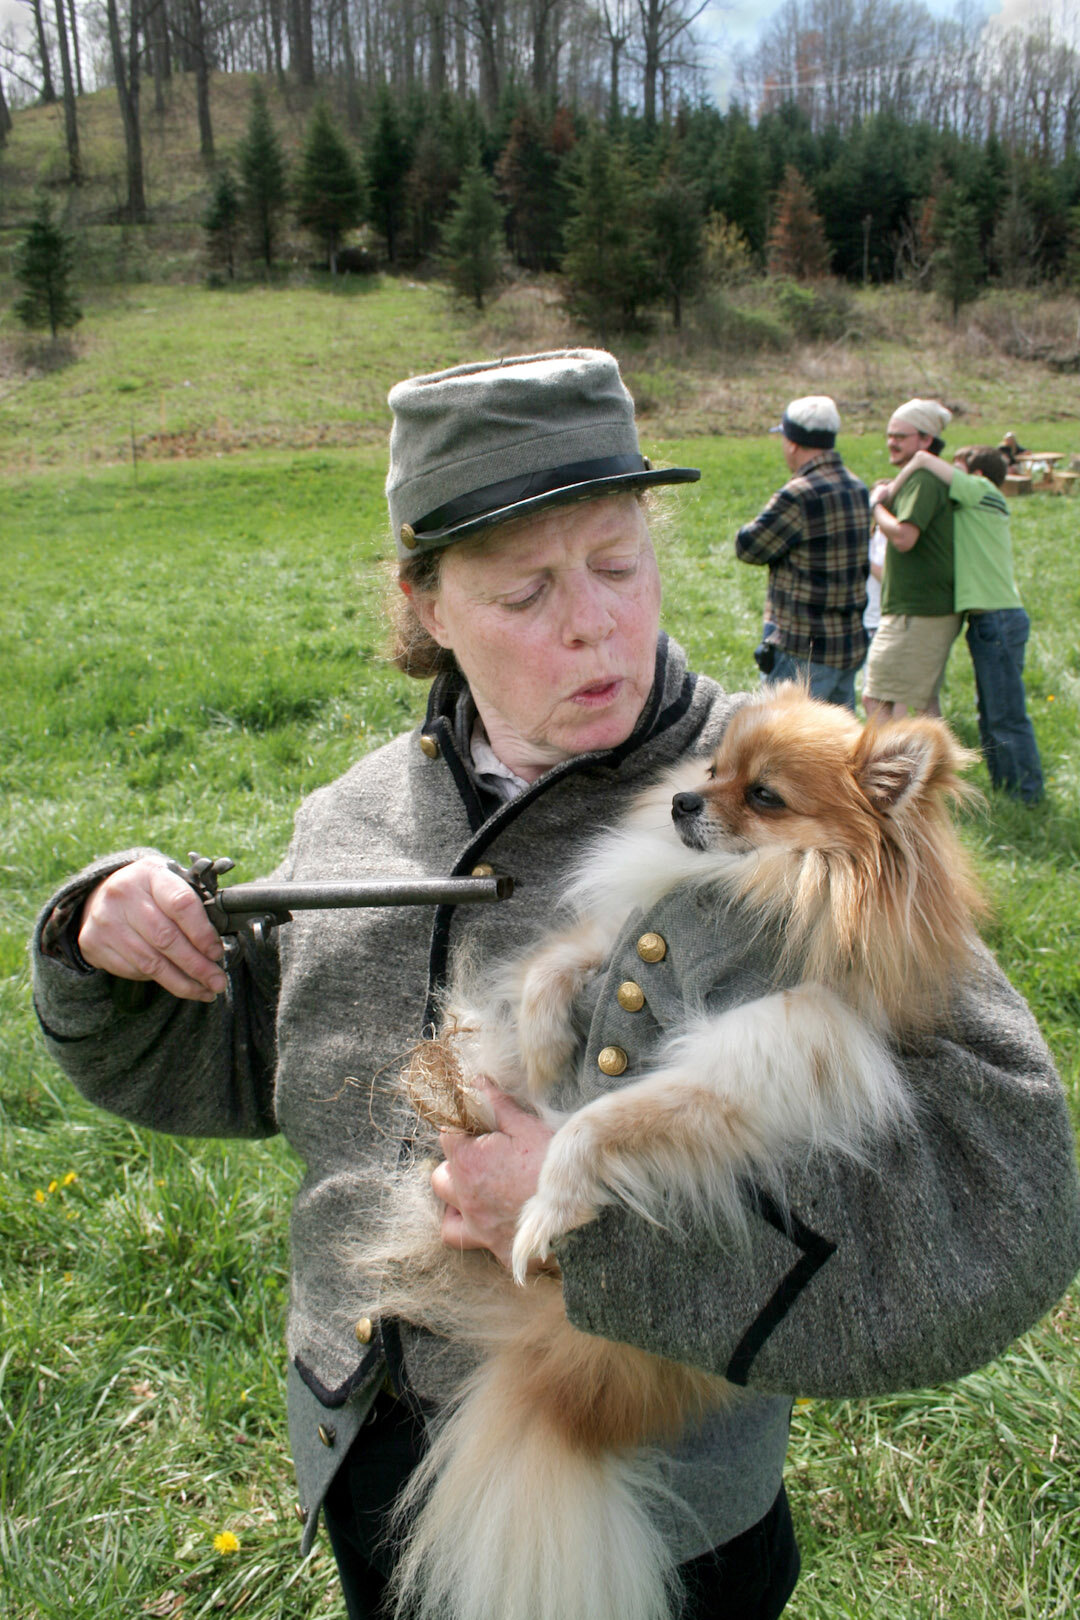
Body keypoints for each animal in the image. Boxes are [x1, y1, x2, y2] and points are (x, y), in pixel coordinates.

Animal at [354, 683, 990, 1620]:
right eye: (715, 769)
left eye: (764, 797)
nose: (685, 801)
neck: (745, 888)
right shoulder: (620, 923)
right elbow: (551, 969)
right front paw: (544, 1056)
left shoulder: (749, 1063)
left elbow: (596, 1126)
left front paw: (546, 1206)